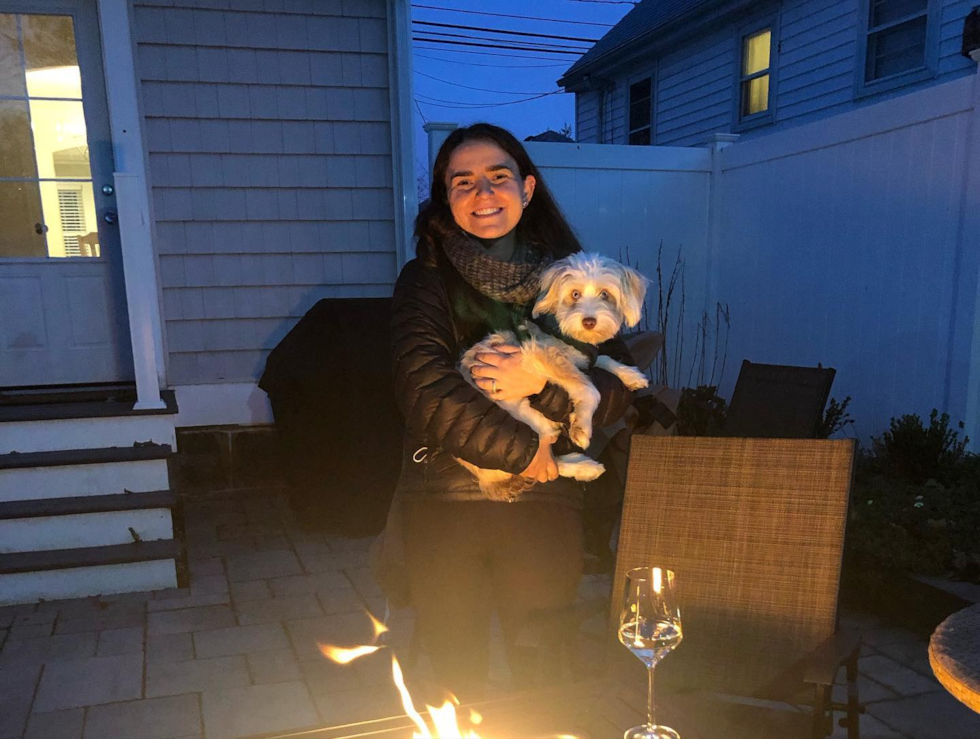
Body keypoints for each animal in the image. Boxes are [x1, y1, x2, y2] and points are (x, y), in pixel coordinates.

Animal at [460, 254, 652, 502]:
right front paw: (582, 426)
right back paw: (584, 467)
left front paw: (631, 374)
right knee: (542, 463)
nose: (589, 322)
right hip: (530, 426)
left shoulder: (581, 357)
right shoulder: (542, 355)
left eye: (605, 294)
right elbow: (590, 389)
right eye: (575, 294)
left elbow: (603, 359)